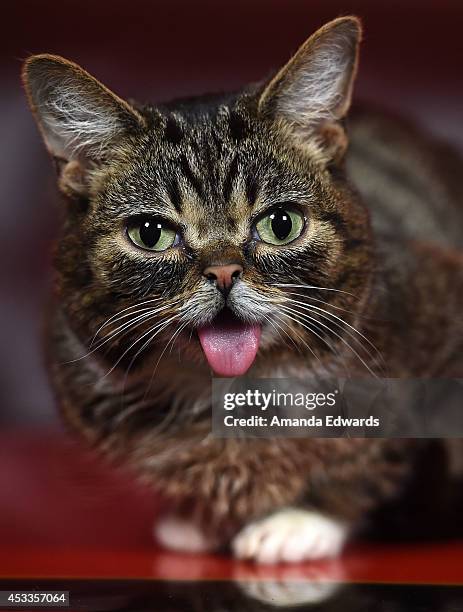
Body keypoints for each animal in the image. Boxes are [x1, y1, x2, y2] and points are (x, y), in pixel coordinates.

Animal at [22, 17, 463, 564]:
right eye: (150, 233)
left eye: (281, 224)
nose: (224, 272)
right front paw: (200, 516)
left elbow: (369, 463)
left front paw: (299, 520)